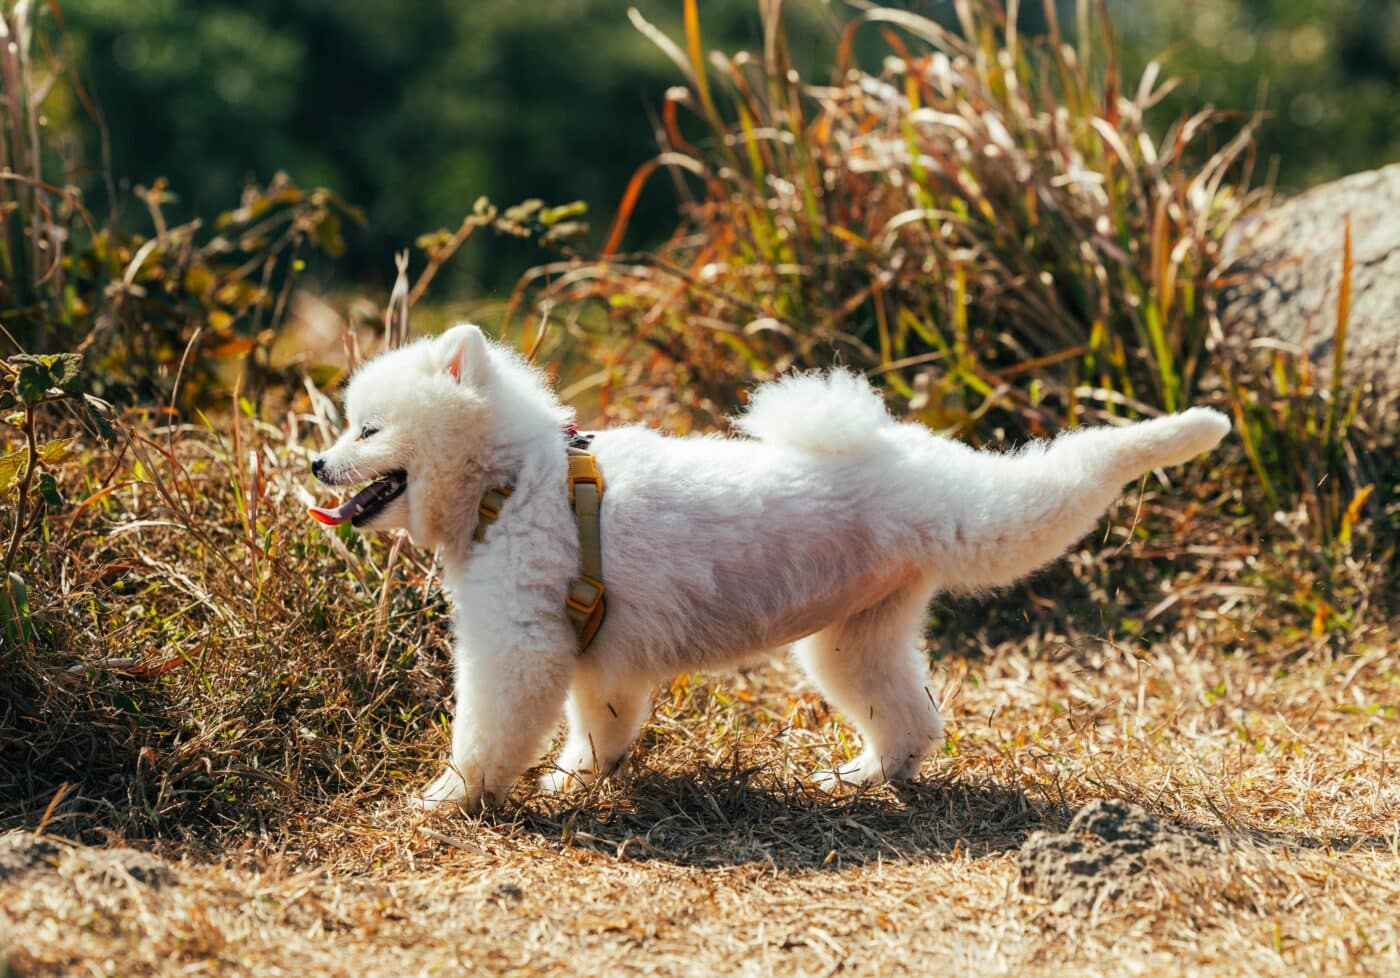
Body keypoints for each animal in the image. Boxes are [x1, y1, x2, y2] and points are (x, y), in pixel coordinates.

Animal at [309, 323, 1226, 811]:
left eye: (367, 430)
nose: (316, 465)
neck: (512, 479)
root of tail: (909, 451)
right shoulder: (595, 652)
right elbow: (599, 728)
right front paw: (576, 782)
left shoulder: (518, 643)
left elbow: (486, 735)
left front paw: (447, 799)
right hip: (854, 640)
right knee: (912, 720)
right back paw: (861, 778)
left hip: (978, 524)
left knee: (1073, 474)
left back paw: (1192, 428)